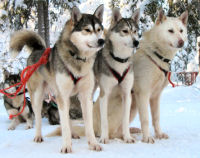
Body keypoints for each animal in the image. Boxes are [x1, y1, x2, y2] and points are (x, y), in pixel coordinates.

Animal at [9, 4, 104, 153]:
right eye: (87, 30)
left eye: (99, 29)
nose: (101, 41)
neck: (77, 58)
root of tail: (37, 50)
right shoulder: (62, 96)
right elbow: (64, 125)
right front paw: (66, 146)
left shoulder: (85, 96)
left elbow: (88, 125)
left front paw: (93, 144)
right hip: (38, 97)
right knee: (38, 119)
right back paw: (38, 136)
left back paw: (74, 134)